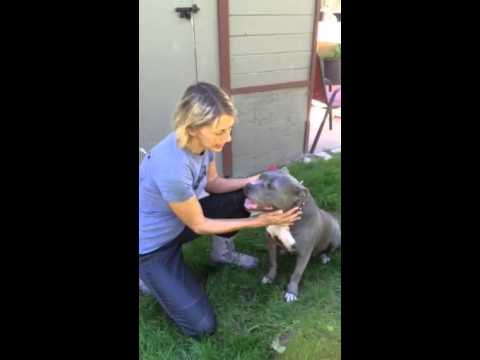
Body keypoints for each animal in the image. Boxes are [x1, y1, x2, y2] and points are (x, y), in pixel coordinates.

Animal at [244, 167, 342, 302]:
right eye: (260, 177)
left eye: (270, 186)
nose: (247, 185)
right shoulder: (271, 242)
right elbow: (273, 263)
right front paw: (269, 278)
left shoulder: (304, 253)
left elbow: (296, 274)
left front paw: (291, 292)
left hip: (336, 237)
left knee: (328, 250)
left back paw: (324, 257)